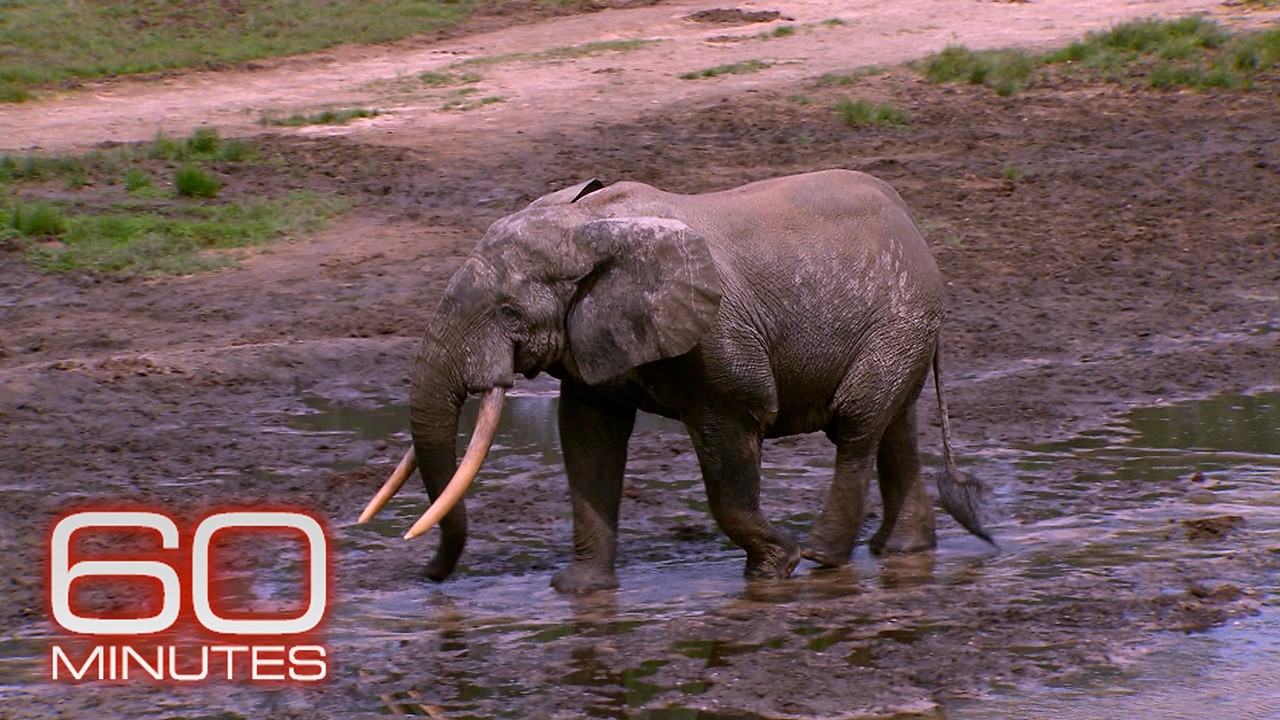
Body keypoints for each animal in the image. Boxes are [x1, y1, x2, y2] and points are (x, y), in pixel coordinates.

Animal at [360, 170, 991, 593]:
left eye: (511, 313)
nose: (428, 576)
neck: (586, 226)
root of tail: (913, 224)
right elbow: (587, 438)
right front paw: (577, 591)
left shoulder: (716, 343)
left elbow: (727, 443)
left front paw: (774, 569)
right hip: (905, 323)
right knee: (894, 427)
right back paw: (901, 550)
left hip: (900, 316)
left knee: (857, 425)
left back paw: (824, 556)